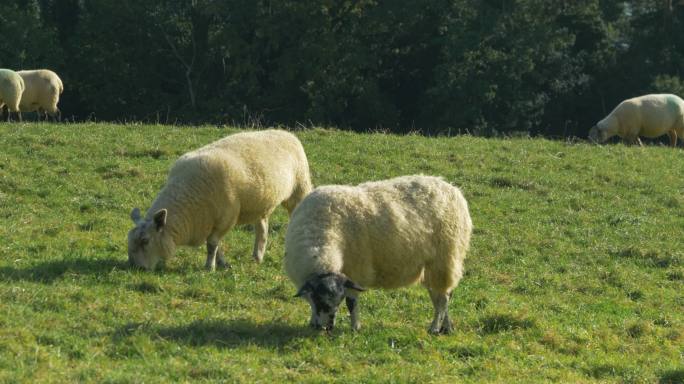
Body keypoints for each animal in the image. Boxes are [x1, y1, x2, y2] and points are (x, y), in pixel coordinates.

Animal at [127, 130, 312, 272]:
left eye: (145, 241)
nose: (135, 268)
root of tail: (286, 133)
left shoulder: (226, 218)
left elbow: (212, 244)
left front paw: (209, 267)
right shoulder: (211, 221)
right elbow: (217, 245)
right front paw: (222, 263)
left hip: (299, 189)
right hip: (261, 204)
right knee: (262, 228)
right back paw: (257, 257)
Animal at [284, 176, 470, 334]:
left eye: (337, 301)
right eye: (320, 300)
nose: (327, 328)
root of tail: (453, 190)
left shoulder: (356, 271)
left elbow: (352, 303)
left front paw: (355, 328)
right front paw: (312, 322)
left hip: (446, 259)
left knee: (443, 299)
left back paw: (435, 327)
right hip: (431, 266)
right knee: (439, 296)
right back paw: (446, 327)